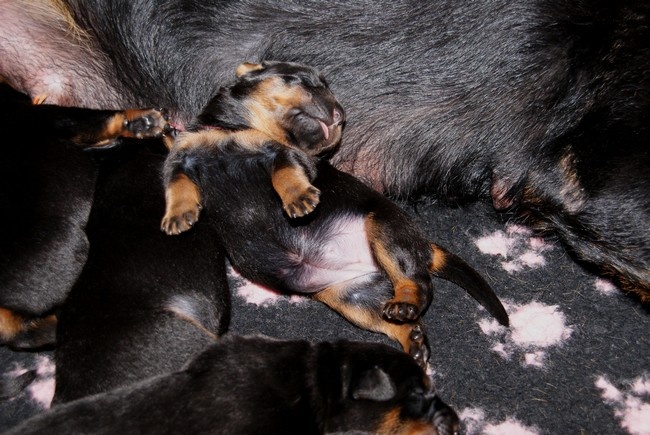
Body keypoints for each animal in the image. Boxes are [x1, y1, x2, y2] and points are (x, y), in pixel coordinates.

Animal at [161, 61, 509, 369]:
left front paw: (299, 198)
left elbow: (285, 173)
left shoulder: (285, 154)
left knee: (420, 283)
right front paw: (179, 215)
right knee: (391, 314)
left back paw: (407, 304)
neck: (232, 129)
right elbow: (177, 185)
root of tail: (423, 245)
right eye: (304, 81)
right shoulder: (181, 158)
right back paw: (412, 338)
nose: (342, 116)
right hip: (353, 297)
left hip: (383, 227)